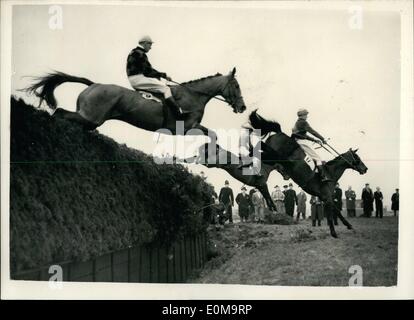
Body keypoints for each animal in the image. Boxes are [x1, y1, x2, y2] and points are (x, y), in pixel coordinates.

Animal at [25, 67, 246, 136]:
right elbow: (210, 133)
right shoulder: (186, 127)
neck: (193, 95)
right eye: (236, 86)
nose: (242, 107)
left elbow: (212, 133)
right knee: (60, 112)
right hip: (92, 117)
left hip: (90, 120)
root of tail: (94, 84)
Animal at [247, 110, 368, 238]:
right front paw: (334, 233)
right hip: (273, 155)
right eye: (357, 158)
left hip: (275, 158)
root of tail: (279, 133)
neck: (330, 172)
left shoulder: (326, 197)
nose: (365, 169)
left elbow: (337, 211)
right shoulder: (327, 198)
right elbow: (331, 215)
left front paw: (349, 225)